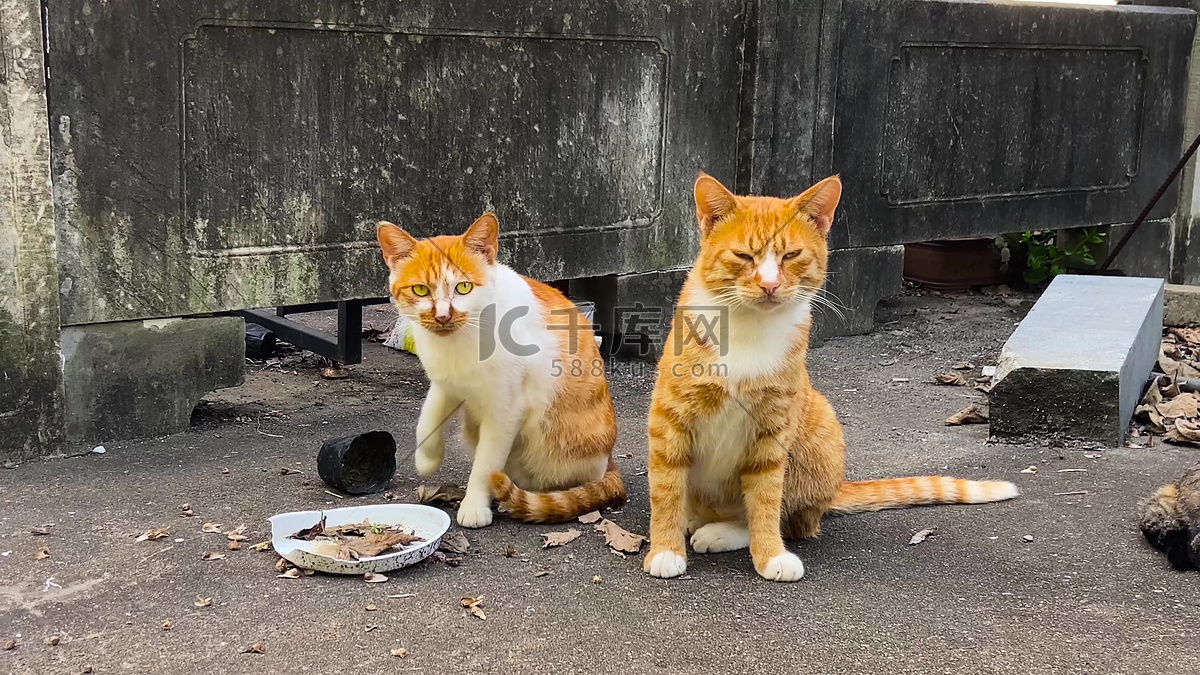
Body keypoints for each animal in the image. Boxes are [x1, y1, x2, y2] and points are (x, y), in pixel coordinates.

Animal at [376, 213, 628, 526]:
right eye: (421, 289)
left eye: (463, 287)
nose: (443, 316)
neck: (459, 342)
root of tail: (610, 462)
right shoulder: (447, 384)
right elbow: (426, 419)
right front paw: (427, 458)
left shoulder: (506, 409)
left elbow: (486, 464)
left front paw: (474, 504)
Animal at [643, 172, 1017, 578]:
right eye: (744, 256)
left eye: (791, 256)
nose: (770, 285)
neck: (749, 330)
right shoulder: (671, 421)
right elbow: (667, 492)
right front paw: (665, 549)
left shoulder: (774, 429)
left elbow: (765, 499)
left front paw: (770, 555)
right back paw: (693, 522)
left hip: (822, 427)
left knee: (793, 520)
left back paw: (722, 532)